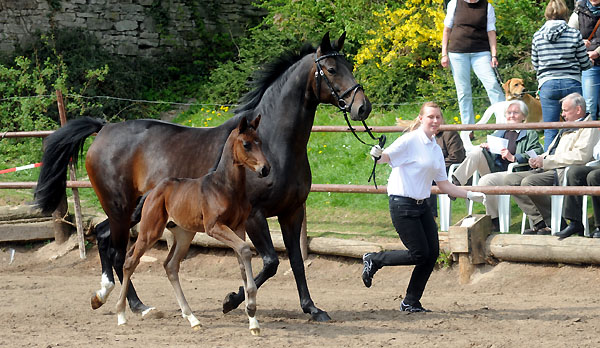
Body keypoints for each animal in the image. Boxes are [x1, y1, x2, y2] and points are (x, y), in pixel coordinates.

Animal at [115, 116, 270, 334]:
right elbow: (245, 250)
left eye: (260, 142)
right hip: (150, 231)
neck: (227, 188)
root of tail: (153, 191)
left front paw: (253, 321)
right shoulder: (214, 227)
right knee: (130, 261)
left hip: (183, 235)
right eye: (246, 144)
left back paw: (192, 318)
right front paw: (251, 307)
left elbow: (242, 260)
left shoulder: (238, 227)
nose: (265, 169)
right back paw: (121, 315)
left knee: (170, 266)